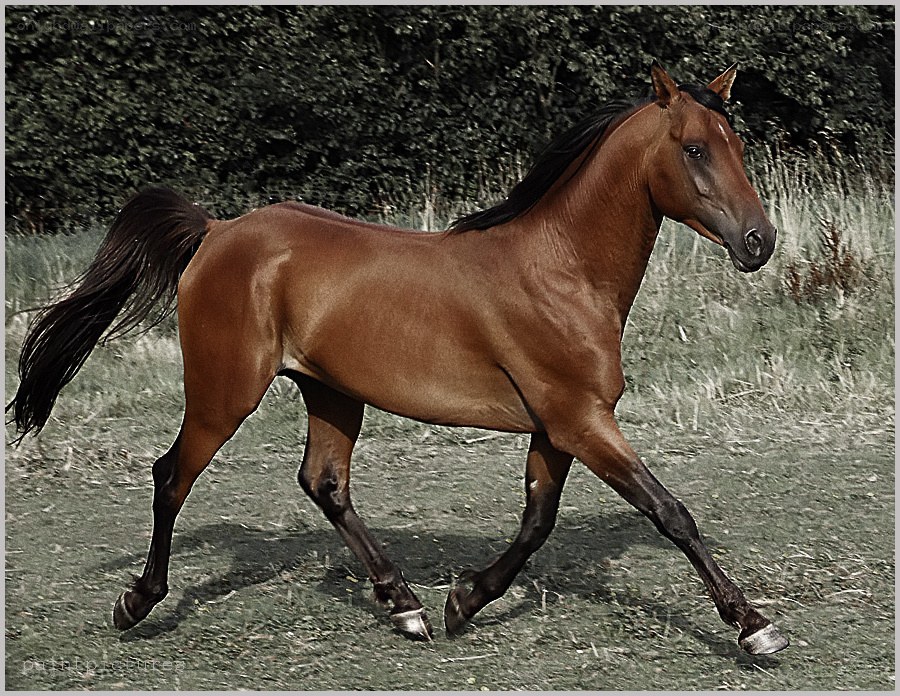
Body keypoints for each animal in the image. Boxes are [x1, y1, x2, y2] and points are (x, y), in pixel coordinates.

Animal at [8, 62, 787, 655]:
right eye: (694, 148)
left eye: (736, 144)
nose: (760, 242)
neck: (562, 270)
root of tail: (217, 230)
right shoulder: (579, 418)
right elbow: (670, 512)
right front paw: (752, 626)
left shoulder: (557, 425)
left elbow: (537, 520)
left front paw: (462, 600)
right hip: (225, 391)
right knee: (172, 475)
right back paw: (137, 602)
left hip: (329, 391)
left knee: (323, 483)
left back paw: (404, 603)